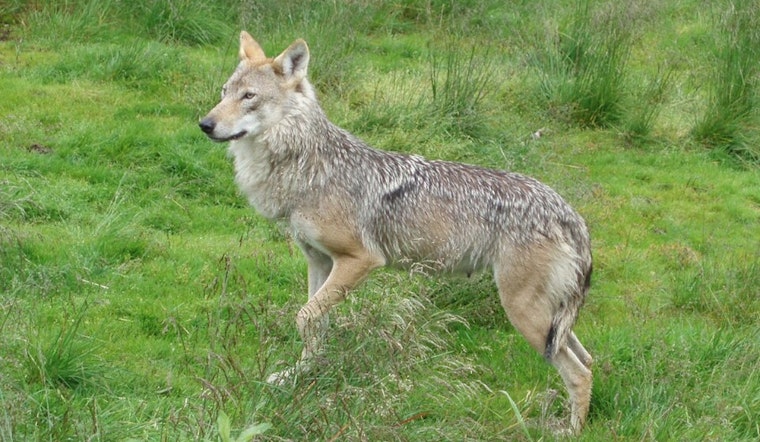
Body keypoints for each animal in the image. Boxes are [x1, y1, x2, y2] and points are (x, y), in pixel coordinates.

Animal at [199, 31, 594, 433]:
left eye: (249, 96)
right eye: (225, 91)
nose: (205, 124)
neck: (305, 166)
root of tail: (570, 214)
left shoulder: (360, 260)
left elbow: (304, 317)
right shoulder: (319, 262)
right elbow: (315, 322)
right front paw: (303, 373)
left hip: (525, 313)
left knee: (580, 373)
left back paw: (569, 430)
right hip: (549, 319)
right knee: (588, 359)